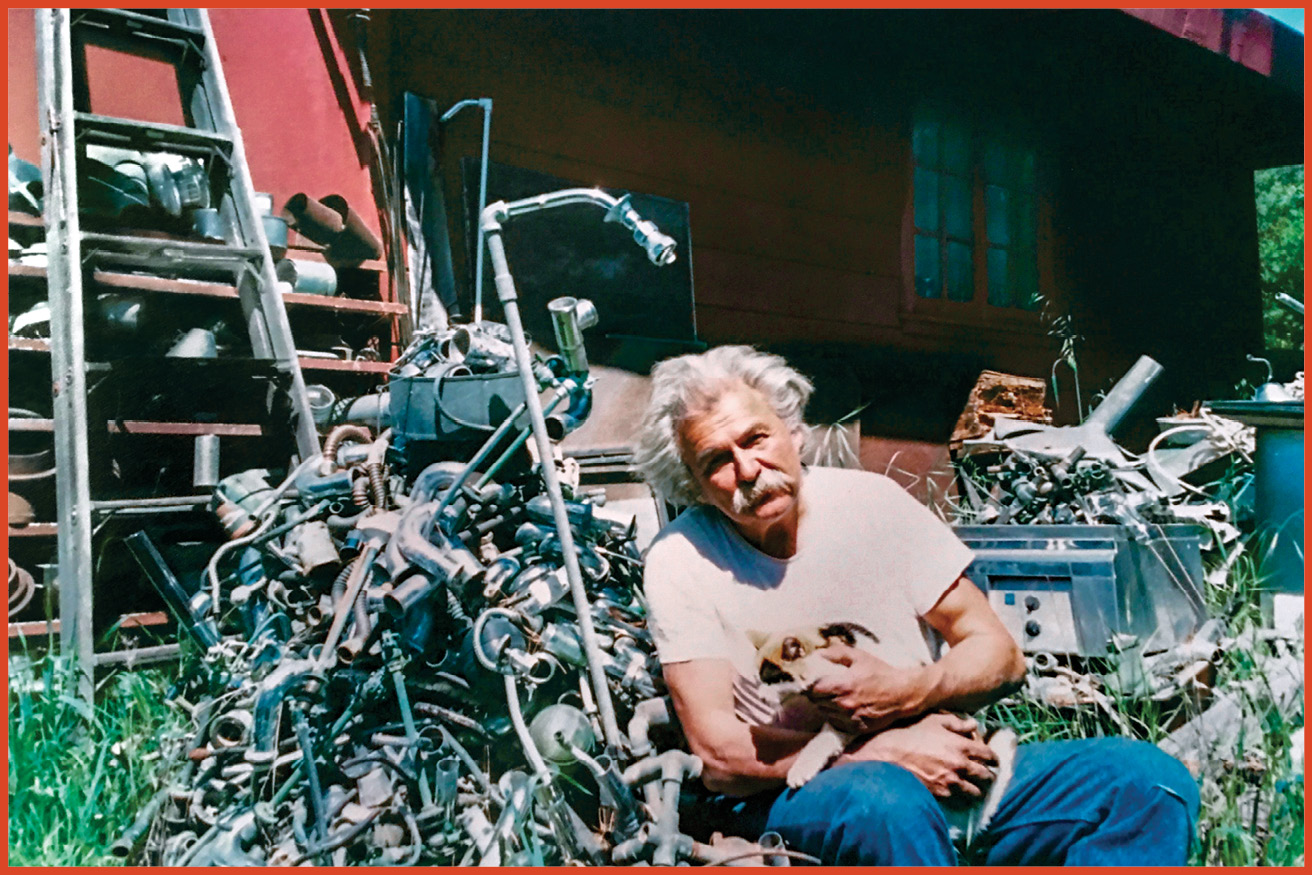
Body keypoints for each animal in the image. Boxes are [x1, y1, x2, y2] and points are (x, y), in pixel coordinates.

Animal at [750, 619, 1012, 844]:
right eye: (758, 680)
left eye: (772, 680)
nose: (760, 696)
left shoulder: (850, 714)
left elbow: (823, 740)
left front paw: (801, 769)